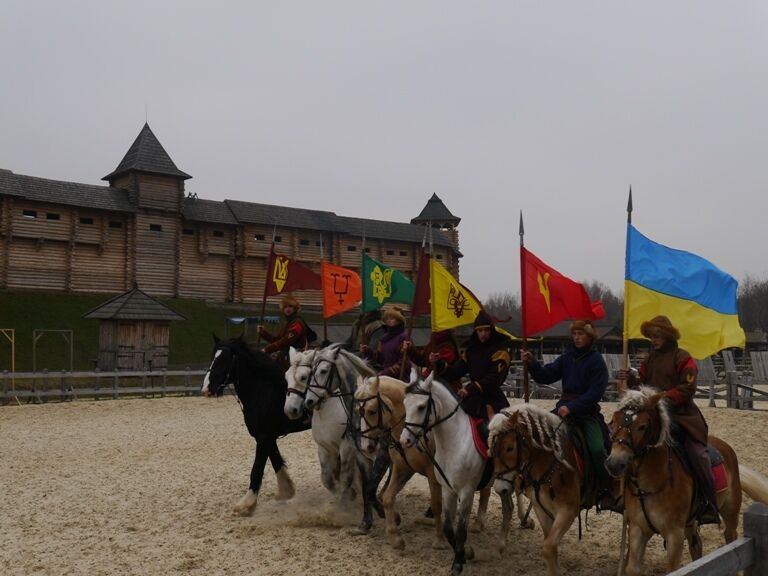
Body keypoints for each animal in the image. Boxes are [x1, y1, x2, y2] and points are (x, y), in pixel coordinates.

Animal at [202, 336, 314, 516]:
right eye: (213, 357)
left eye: (225, 359)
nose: (206, 388)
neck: (264, 389)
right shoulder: (267, 437)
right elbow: (276, 460)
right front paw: (286, 491)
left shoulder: (263, 437)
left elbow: (256, 469)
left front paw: (246, 504)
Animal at [284, 344, 390, 532]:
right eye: (286, 377)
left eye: (304, 376)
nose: (291, 410)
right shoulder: (324, 448)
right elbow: (327, 479)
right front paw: (346, 498)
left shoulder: (346, 447)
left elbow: (346, 476)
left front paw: (345, 504)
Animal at [400, 372, 512, 572]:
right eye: (405, 403)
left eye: (421, 407)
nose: (404, 440)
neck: (455, 442)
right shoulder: (448, 490)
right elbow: (448, 529)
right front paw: (464, 554)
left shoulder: (466, 493)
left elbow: (460, 531)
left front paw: (458, 564)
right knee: (509, 508)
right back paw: (499, 547)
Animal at [488, 404, 620, 576]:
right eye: (490, 447)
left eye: (510, 448)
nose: (500, 488)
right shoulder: (541, 509)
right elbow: (550, 546)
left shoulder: (568, 511)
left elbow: (549, 547)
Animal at [608, 388, 768, 576]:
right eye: (613, 422)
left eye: (642, 426)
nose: (614, 463)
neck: (652, 482)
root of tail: (726, 447)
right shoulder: (637, 529)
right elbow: (632, 568)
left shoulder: (674, 535)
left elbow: (672, 569)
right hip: (691, 522)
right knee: (696, 546)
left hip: (730, 513)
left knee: (731, 539)